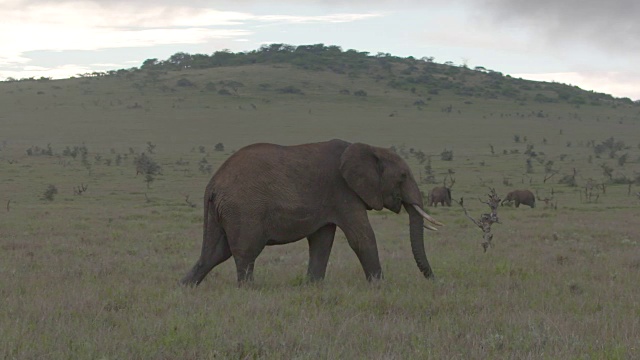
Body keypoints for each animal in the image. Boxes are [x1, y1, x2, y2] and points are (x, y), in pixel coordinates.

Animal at [179, 139, 440, 286]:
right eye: (403, 176)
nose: (434, 281)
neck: (368, 148)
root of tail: (213, 185)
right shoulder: (343, 192)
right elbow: (362, 237)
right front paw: (380, 287)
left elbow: (322, 241)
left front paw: (313, 286)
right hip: (243, 210)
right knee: (245, 251)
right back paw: (249, 289)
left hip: (222, 211)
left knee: (214, 253)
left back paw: (184, 286)